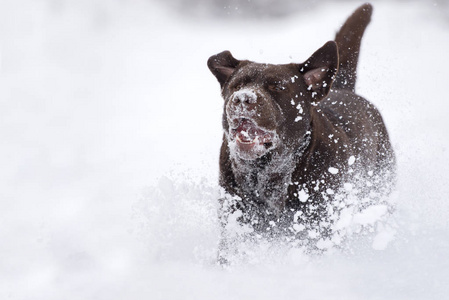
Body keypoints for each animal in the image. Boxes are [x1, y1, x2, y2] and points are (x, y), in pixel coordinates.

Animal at [206, 2, 392, 258]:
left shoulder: (318, 223)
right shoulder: (236, 217)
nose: (243, 98)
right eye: (236, 85)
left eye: (277, 87)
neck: (267, 174)